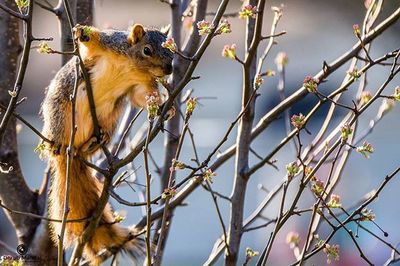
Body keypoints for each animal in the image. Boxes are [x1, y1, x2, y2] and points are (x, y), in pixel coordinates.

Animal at [39, 23, 173, 264]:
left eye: (172, 51)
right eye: (147, 50)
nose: (169, 69)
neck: (133, 66)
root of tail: (73, 151)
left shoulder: (141, 86)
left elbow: (142, 97)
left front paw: (164, 107)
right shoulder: (111, 45)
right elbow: (96, 40)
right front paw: (81, 33)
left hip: (110, 117)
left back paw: (94, 141)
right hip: (60, 112)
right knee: (58, 132)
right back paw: (58, 144)